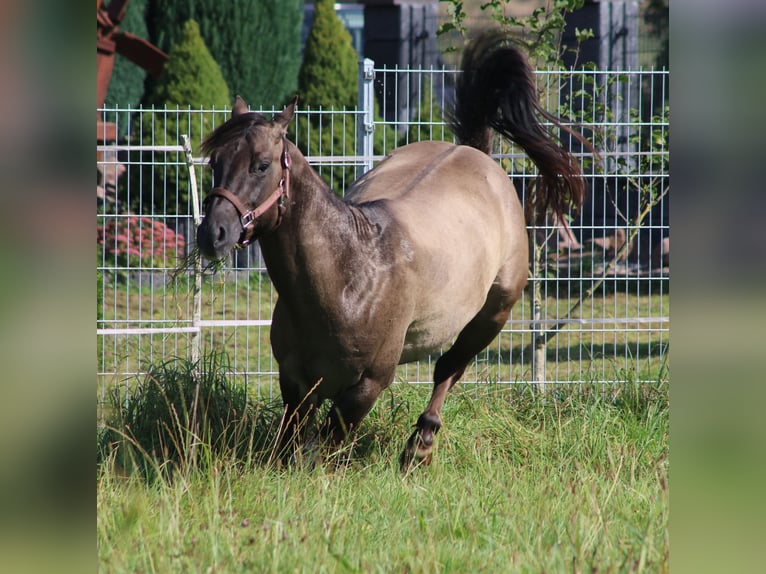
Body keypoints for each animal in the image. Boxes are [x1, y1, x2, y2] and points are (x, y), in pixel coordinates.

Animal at [195, 31, 592, 470]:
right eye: (215, 162)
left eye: (262, 165)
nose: (212, 233)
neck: (348, 276)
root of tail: (475, 152)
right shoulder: (296, 381)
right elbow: (291, 444)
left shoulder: (366, 386)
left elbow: (327, 447)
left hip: (492, 315)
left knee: (449, 368)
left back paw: (421, 445)